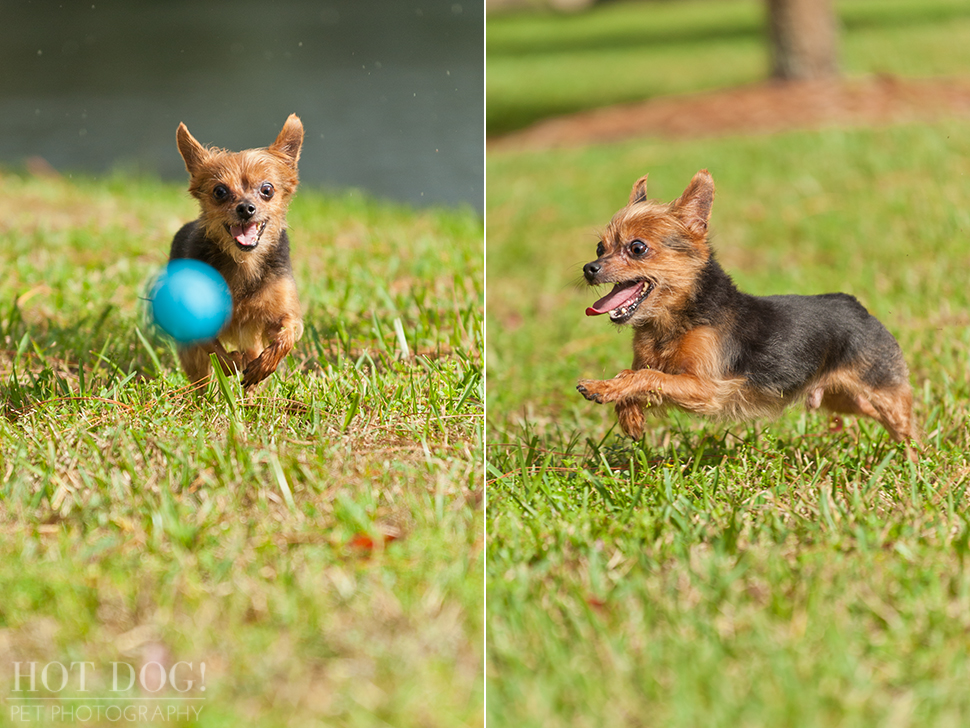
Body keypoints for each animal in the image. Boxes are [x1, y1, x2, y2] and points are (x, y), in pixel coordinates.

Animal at [168, 114, 300, 390]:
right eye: (219, 191)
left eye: (267, 190)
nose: (246, 208)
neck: (244, 262)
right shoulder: (197, 322)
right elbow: (215, 351)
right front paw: (233, 364)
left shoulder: (282, 314)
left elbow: (287, 336)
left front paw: (263, 366)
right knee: (200, 377)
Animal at [576, 168, 916, 458]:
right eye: (599, 248)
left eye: (637, 248)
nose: (589, 268)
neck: (675, 320)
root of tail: (857, 306)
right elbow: (633, 374)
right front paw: (628, 414)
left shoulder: (706, 388)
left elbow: (645, 375)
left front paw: (600, 388)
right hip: (841, 397)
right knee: (871, 412)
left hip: (882, 391)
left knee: (906, 428)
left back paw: (915, 463)